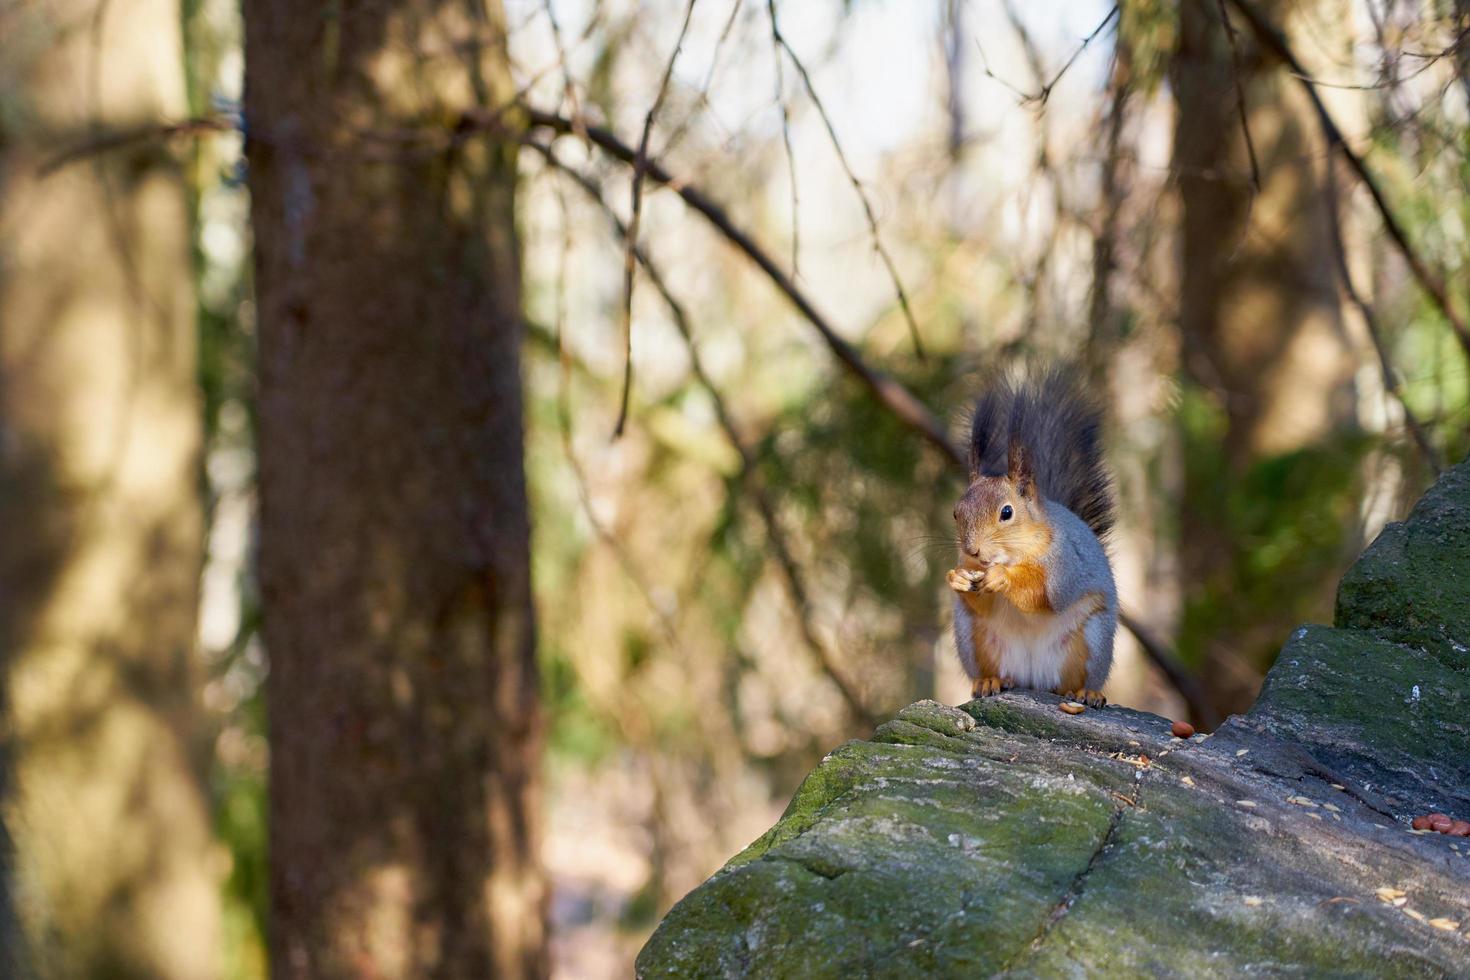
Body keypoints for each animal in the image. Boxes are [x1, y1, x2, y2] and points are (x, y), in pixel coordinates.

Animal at [946, 367, 1117, 705]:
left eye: (1007, 512)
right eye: (957, 513)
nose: (972, 551)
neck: (1013, 554)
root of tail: (1034, 680)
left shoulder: (1065, 564)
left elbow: (1043, 593)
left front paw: (1003, 578)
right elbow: (982, 602)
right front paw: (957, 578)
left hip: (1092, 639)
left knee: (1073, 680)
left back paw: (1084, 692)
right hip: (974, 638)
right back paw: (990, 681)